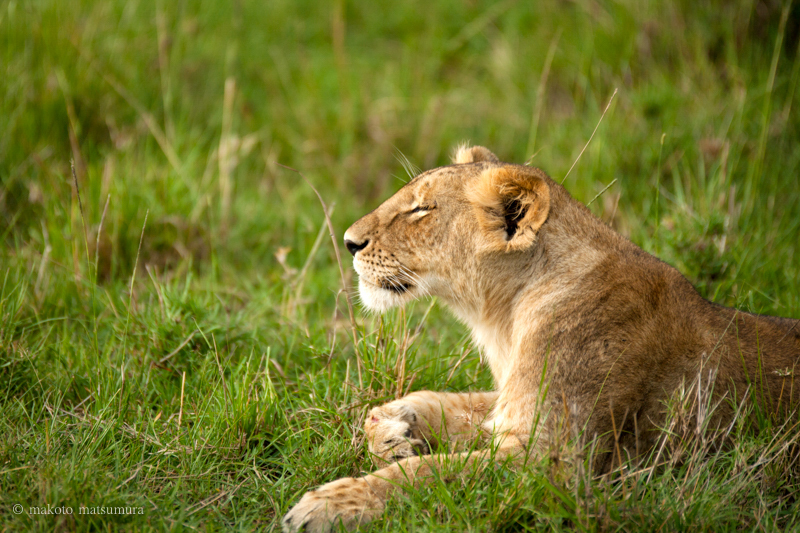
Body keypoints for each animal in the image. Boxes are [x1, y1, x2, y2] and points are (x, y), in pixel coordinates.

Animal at [282, 145, 800, 532]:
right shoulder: (511, 406)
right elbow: (433, 401)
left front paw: (327, 505)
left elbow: (429, 472)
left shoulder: (552, 464)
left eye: (422, 209)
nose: (349, 242)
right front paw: (393, 431)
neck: (506, 315)